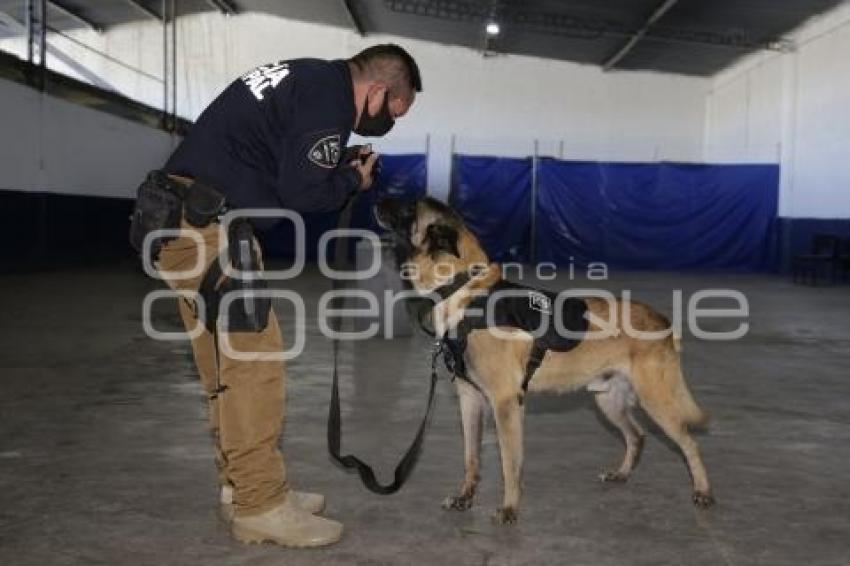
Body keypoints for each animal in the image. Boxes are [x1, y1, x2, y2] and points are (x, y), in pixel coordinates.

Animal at [374, 197, 712, 524]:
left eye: (408, 208)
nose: (377, 201)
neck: (464, 288)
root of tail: (663, 322)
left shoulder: (505, 403)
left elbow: (510, 464)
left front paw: (509, 509)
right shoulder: (469, 398)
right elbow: (471, 457)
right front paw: (464, 498)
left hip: (657, 401)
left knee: (690, 443)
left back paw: (703, 492)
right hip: (609, 401)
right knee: (637, 436)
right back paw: (622, 474)